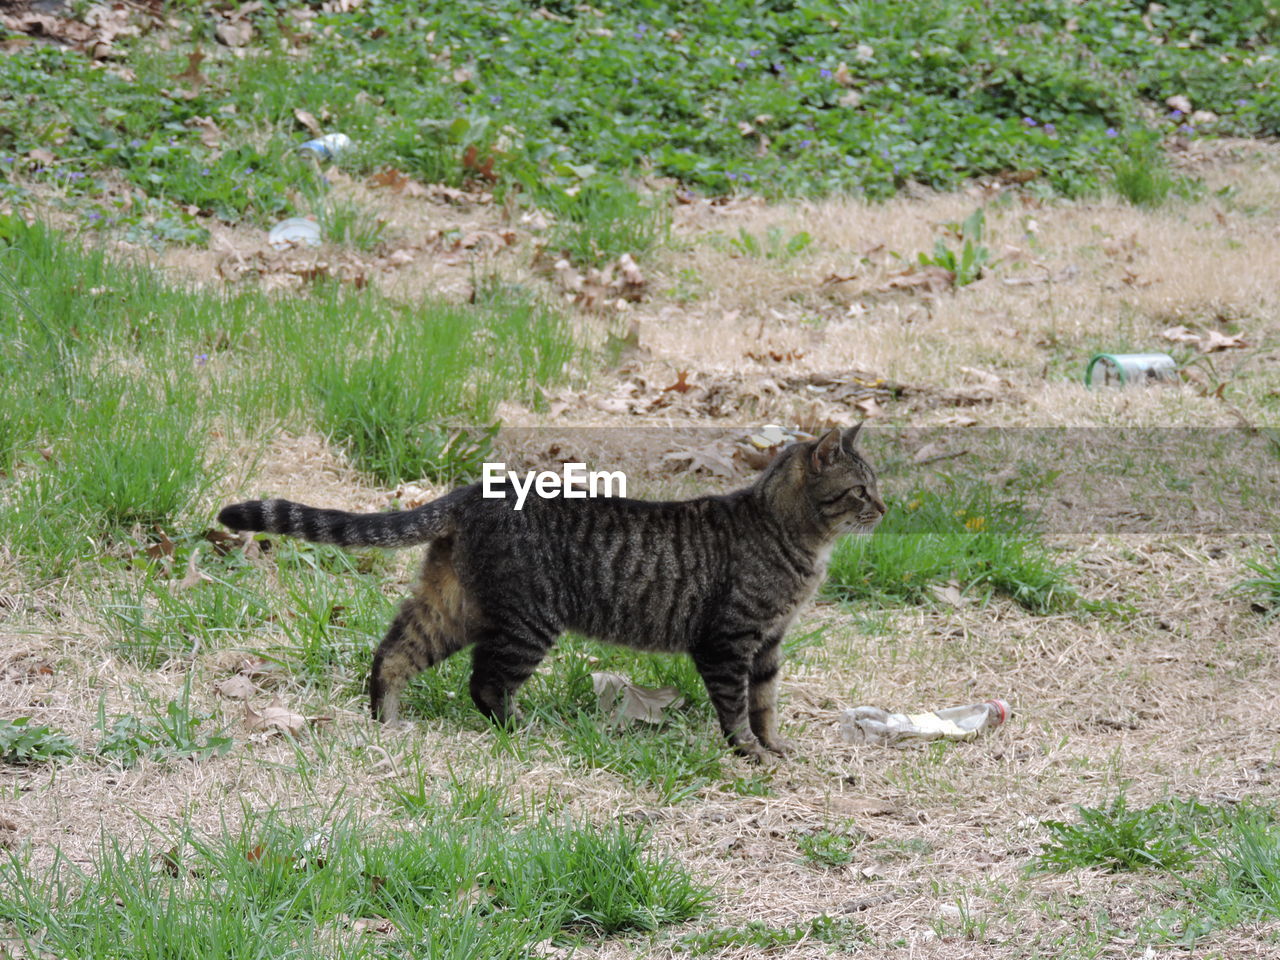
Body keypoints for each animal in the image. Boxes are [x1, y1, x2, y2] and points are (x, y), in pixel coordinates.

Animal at [217, 427, 880, 757]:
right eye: (860, 490)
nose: (887, 509)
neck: (796, 539)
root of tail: (473, 490)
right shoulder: (729, 641)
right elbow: (737, 706)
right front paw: (748, 752)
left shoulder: (768, 643)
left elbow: (766, 702)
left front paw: (774, 746)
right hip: (528, 621)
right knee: (485, 682)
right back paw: (518, 730)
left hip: (452, 605)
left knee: (394, 652)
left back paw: (388, 723)